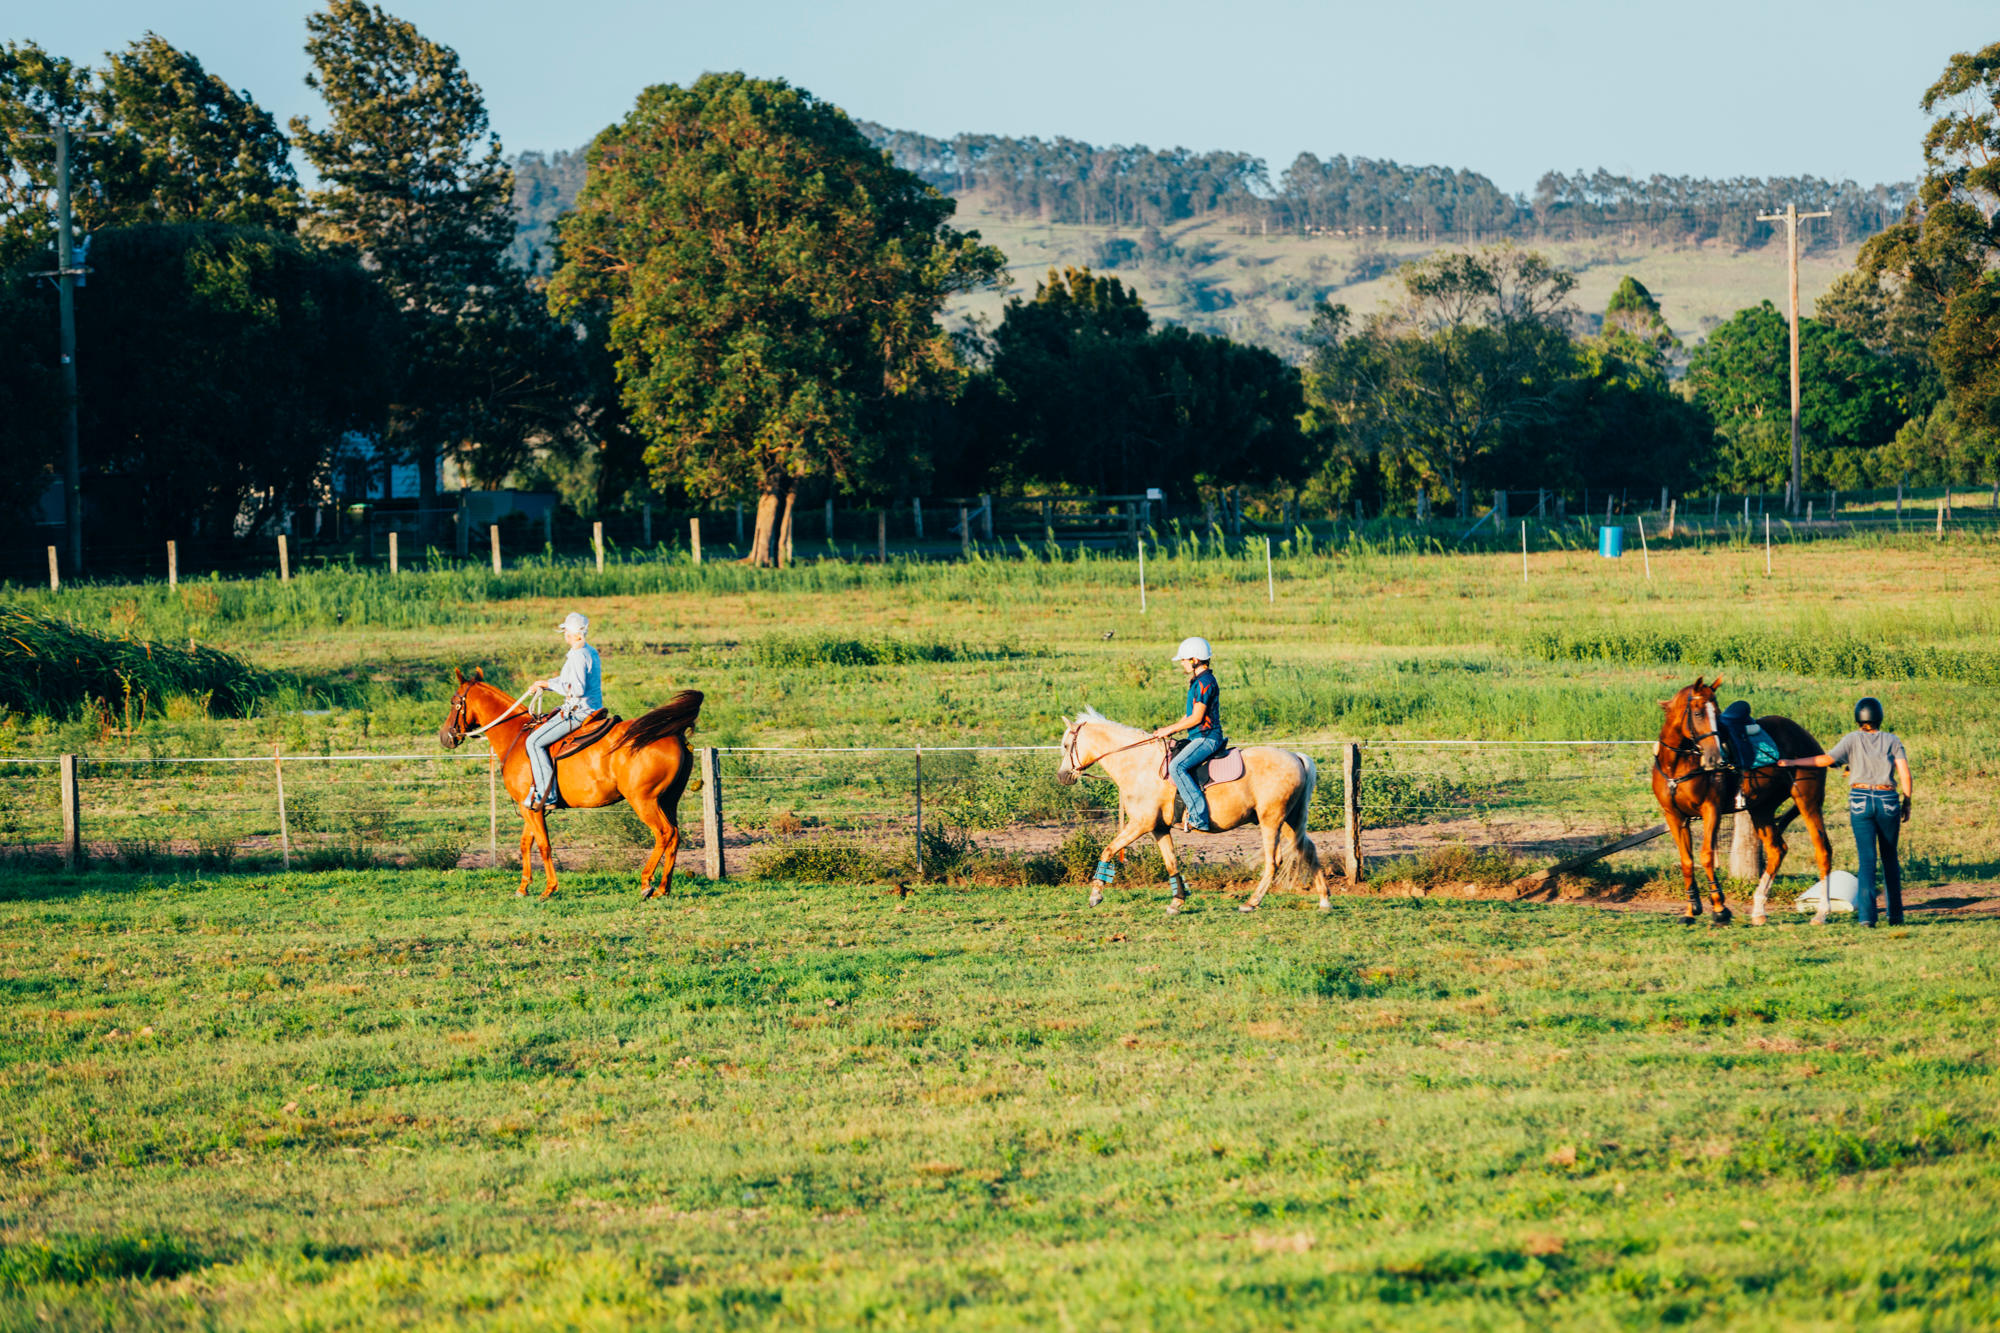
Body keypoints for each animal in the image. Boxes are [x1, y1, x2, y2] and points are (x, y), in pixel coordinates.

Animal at [437, 669, 704, 900]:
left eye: (453, 702)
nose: (445, 736)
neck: (517, 737)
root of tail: (673, 733)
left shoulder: (531, 809)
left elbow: (543, 845)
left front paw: (549, 889)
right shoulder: (530, 806)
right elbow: (525, 844)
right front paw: (523, 887)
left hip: (644, 801)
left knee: (663, 833)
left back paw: (647, 882)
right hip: (668, 800)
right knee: (675, 836)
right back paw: (663, 888)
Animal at [1056, 707, 1330, 913]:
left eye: (1067, 745)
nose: (1062, 776)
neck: (1139, 764)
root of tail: (1296, 756)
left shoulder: (1141, 824)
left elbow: (1108, 850)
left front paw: (1095, 895)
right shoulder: (1159, 828)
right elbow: (1171, 863)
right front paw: (1177, 902)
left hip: (1271, 821)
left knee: (1274, 862)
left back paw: (1251, 903)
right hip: (1290, 820)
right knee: (1308, 850)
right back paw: (1325, 901)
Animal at [1651, 676, 1833, 926]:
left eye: (1718, 714)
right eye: (1697, 713)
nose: (1716, 758)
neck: (1676, 765)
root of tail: (1805, 736)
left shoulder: (1711, 810)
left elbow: (1706, 856)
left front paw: (1720, 909)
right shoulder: (1674, 816)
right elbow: (1687, 860)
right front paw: (1691, 909)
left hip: (1808, 801)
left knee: (1822, 849)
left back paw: (1822, 912)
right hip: (1762, 809)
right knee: (1777, 850)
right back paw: (1758, 911)